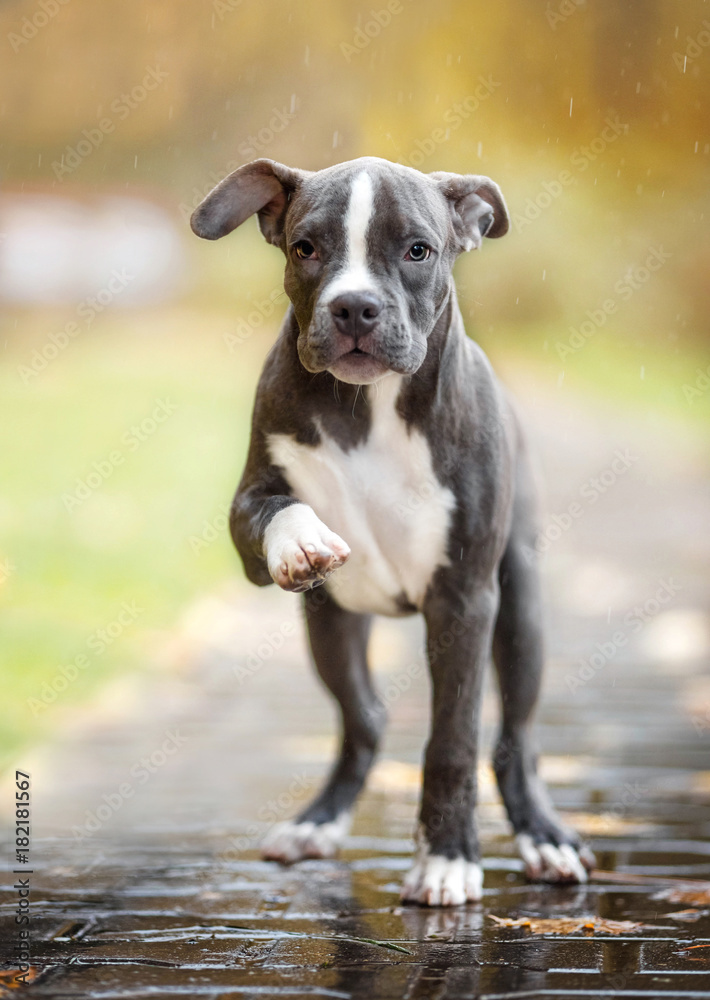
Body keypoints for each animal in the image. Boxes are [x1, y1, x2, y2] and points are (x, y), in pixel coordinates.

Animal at [191, 154, 596, 908]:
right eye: (305, 248)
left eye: (418, 250)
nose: (354, 306)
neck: (369, 406)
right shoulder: (250, 509)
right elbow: (274, 510)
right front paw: (304, 542)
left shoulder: (464, 599)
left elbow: (452, 742)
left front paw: (447, 860)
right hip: (331, 629)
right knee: (364, 719)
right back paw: (317, 822)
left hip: (520, 609)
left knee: (515, 739)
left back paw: (545, 838)